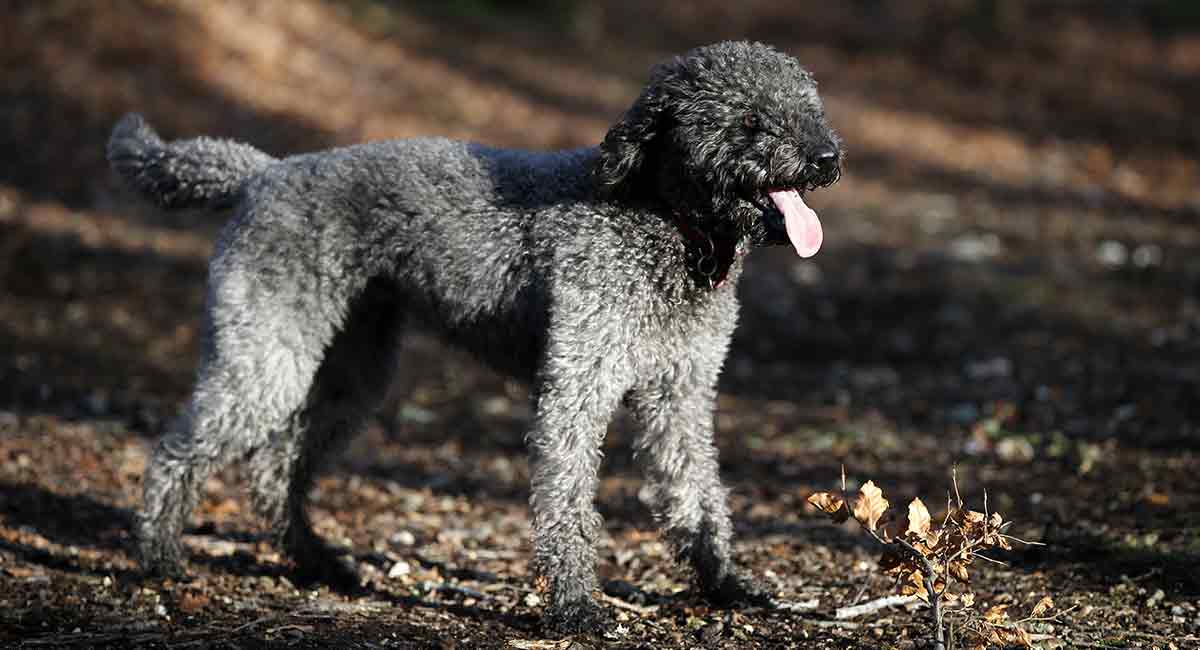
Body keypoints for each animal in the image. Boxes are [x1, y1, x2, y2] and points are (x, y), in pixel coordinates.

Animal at [110, 41, 844, 638]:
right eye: (747, 120)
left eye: (809, 108)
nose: (828, 157)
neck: (664, 224)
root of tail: (261, 175)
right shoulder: (576, 390)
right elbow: (567, 501)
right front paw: (576, 607)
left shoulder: (681, 397)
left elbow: (698, 495)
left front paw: (725, 586)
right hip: (267, 358)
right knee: (179, 448)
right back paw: (161, 558)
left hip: (352, 371)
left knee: (276, 466)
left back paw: (320, 563)